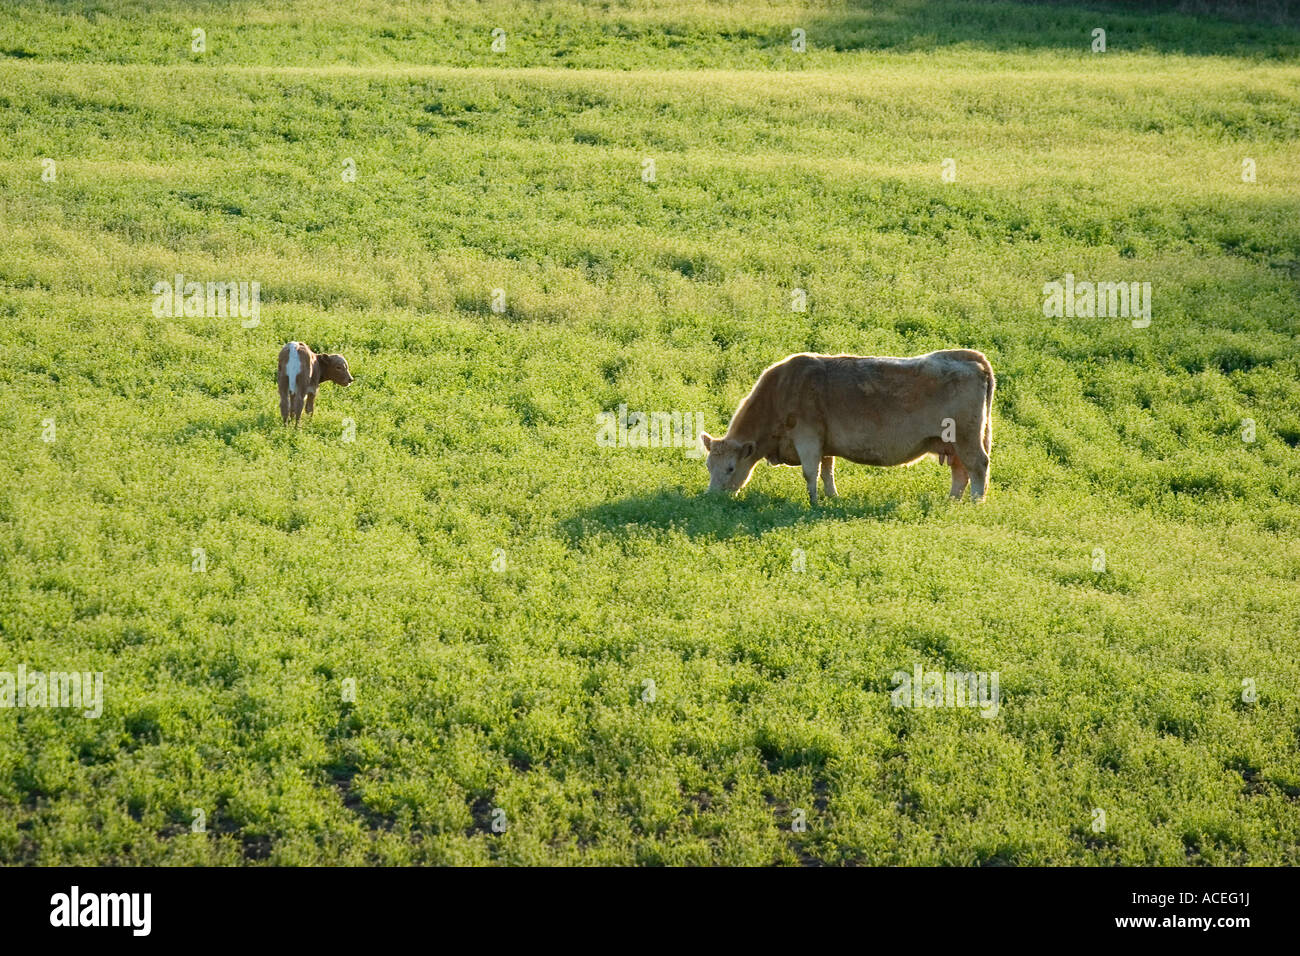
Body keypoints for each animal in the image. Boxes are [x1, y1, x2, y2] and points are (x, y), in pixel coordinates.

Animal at [700, 350, 995, 505]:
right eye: (708, 466)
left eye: (730, 468)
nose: (711, 497)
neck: (783, 389)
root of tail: (969, 357)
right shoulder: (825, 444)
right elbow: (826, 472)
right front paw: (832, 498)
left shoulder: (807, 437)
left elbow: (810, 472)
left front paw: (814, 502)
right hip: (953, 444)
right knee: (960, 473)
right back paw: (952, 501)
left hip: (967, 438)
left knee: (978, 466)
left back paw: (976, 502)